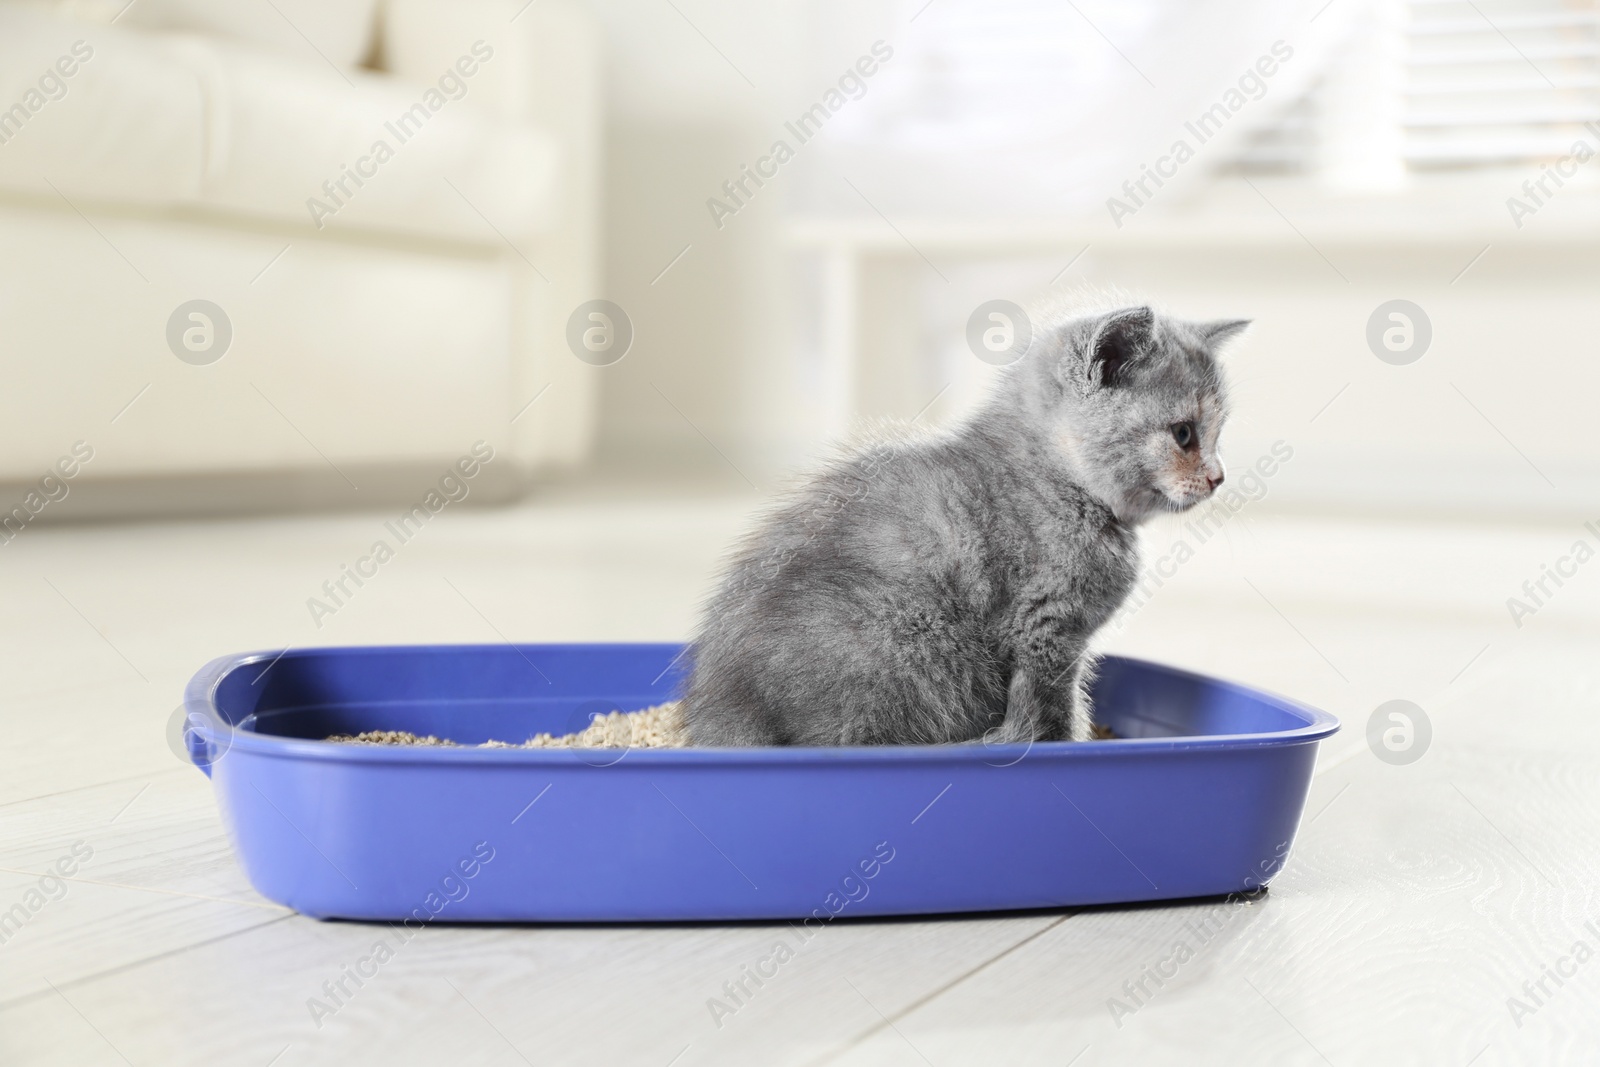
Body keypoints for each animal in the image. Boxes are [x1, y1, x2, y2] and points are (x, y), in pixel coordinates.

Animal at [681, 303, 1241, 748]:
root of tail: (723, 713)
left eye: (1219, 434)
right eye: (1184, 434)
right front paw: (1064, 744)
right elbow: (1054, 707)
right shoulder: (1045, 630)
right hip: (909, 635)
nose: (1219, 477)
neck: (1057, 482)